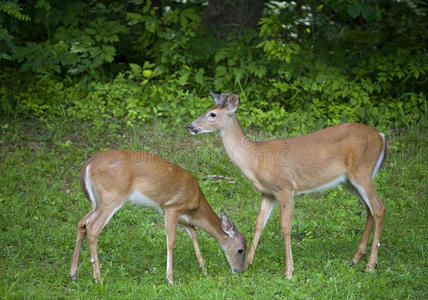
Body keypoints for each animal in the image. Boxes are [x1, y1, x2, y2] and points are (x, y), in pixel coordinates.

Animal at [68, 150, 246, 284]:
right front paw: (170, 279)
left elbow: (194, 234)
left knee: (81, 223)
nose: (241, 270)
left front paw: (203, 268)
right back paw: (98, 278)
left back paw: (73, 274)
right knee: (92, 228)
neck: (196, 204)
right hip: (111, 196)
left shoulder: (181, 217)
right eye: (240, 250)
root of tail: (87, 167)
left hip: (97, 202)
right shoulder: (172, 208)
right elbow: (171, 241)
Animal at [186, 92, 386, 278]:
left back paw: (370, 265)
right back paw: (355, 259)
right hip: (349, 181)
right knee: (369, 209)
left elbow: (285, 226)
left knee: (378, 208)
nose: (189, 126)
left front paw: (289, 271)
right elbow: (259, 223)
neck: (256, 159)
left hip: (362, 172)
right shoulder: (268, 192)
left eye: (212, 114)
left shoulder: (285, 187)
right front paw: (249, 262)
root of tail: (381, 136)